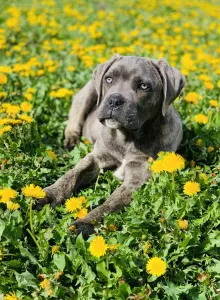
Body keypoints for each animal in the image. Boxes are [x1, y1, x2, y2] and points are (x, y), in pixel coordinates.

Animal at [38, 55, 186, 238]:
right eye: (109, 79)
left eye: (144, 86)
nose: (114, 100)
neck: (127, 138)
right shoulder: (96, 158)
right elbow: (71, 175)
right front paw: (48, 195)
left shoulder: (137, 179)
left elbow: (110, 204)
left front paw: (86, 223)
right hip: (86, 95)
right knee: (74, 120)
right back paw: (71, 141)